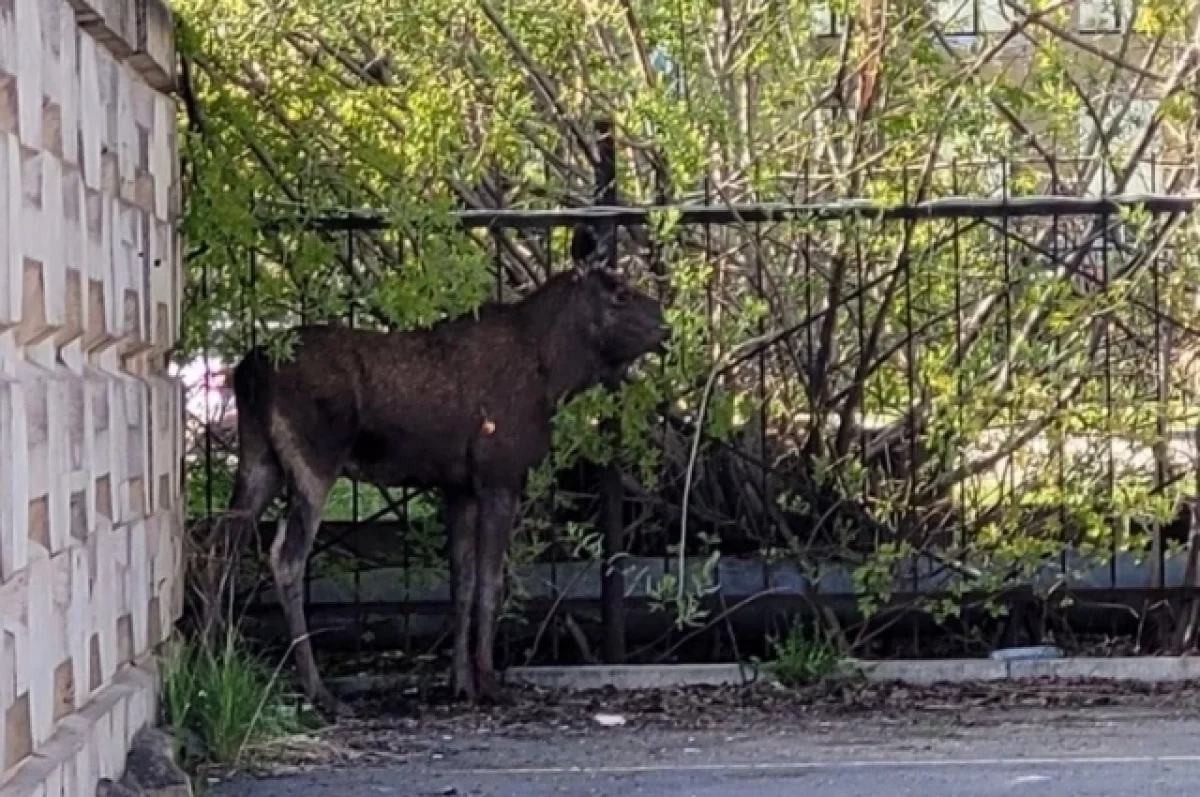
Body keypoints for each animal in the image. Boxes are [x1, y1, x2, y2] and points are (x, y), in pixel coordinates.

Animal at [225, 224, 672, 715]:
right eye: (619, 293)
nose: (667, 326)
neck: (555, 377)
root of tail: (245, 371)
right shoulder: (500, 474)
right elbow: (491, 583)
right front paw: (489, 684)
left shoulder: (457, 486)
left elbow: (461, 582)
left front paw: (460, 683)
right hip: (314, 458)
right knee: (285, 557)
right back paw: (317, 691)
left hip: (259, 459)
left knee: (220, 548)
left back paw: (214, 657)